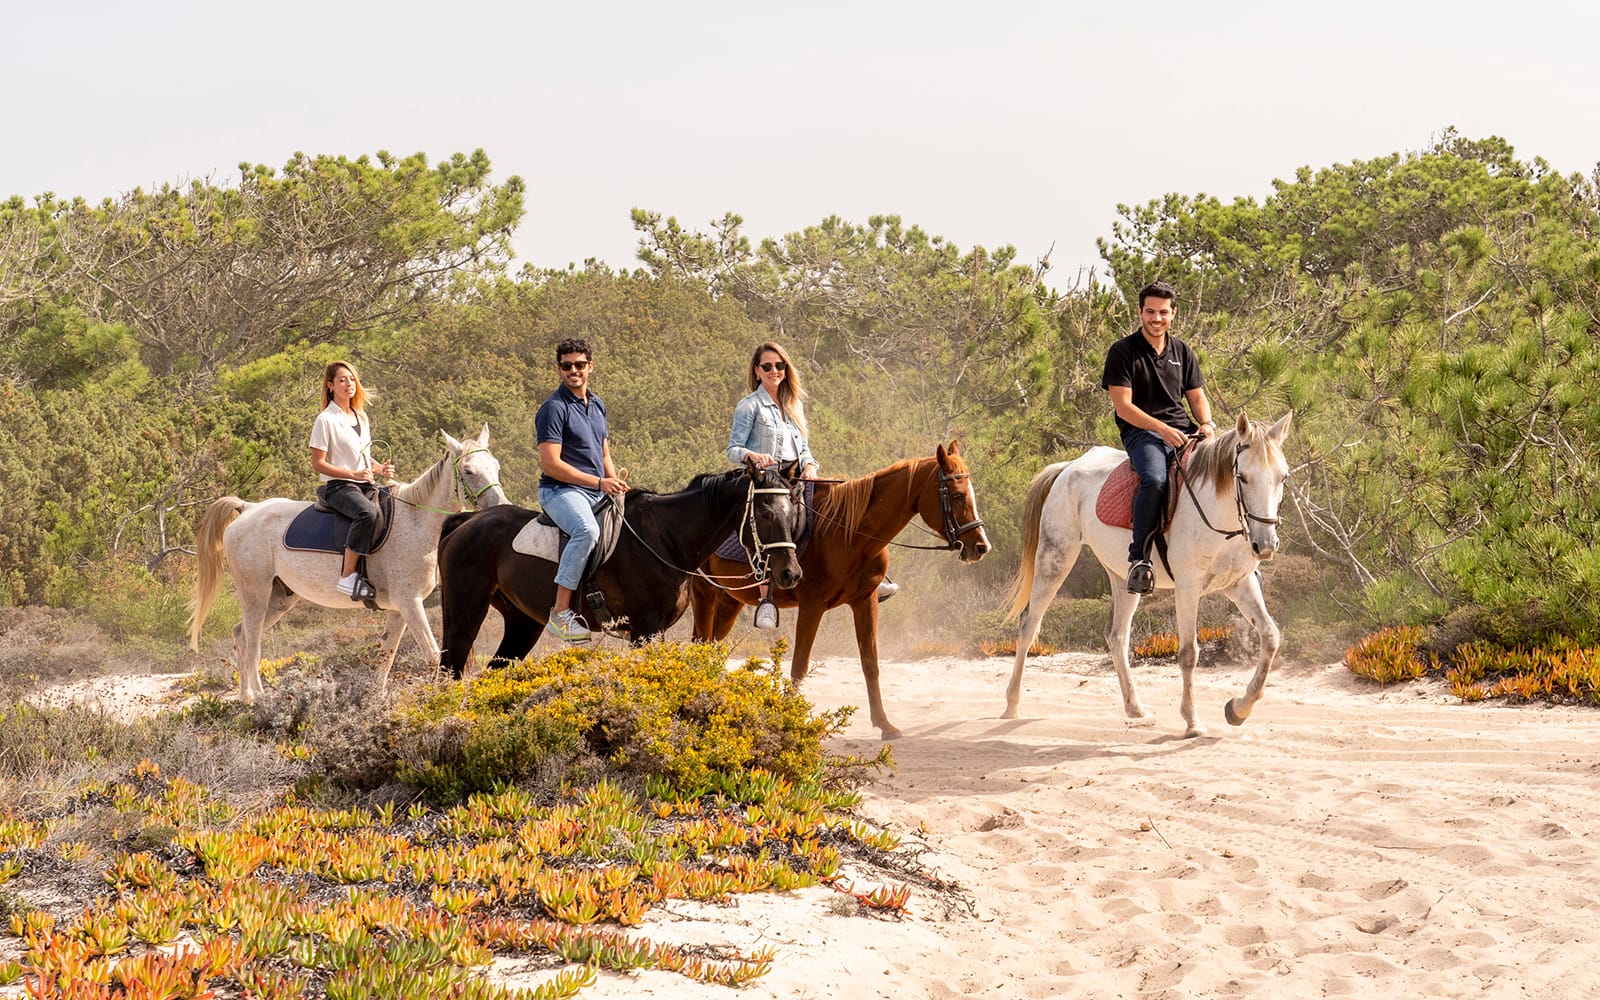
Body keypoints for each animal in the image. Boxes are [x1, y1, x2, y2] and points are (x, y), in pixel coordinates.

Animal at [189, 426, 508, 701]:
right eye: (468, 471)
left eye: (496, 466)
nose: (500, 507)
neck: (416, 522)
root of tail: (248, 509)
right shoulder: (411, 603)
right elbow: (432, 656)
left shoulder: (400, 610)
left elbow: (385, 659)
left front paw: (376, 702)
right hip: (255, 593)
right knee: (251, 644)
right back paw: (259, 700)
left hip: (279, 598)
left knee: (240, 636)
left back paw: (245, 698)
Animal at [435, 461, 805, 677]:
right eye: (766, 513)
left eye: (793, 512)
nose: (791, 573)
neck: (665, 537)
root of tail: (466, 522)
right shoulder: (645, 631)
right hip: (464, 615)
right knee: (449, 670)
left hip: (522, 622)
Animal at [690, 442, 992, 740]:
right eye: (957, 495)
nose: (980, 546)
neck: (848, 533)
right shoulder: (812, 606)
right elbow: (799, 665)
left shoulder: (865, 601)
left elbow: (870, 663)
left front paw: (885, 724)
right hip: (704, 591)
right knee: (702, 645)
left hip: (730, 600)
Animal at [1003, 412, 1294, 737]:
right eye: (1242, 477)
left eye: (1282, 477)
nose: (1265, 545)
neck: (1217, 515)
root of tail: (1067, 468)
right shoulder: (1188, 587)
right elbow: (1189, 653)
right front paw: (1192, 722)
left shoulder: (1239, 584)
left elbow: (1270, 636)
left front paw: (1238, 709)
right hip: (1055, 558)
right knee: (1029, 624)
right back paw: (1012, 704)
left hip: (1122, 578)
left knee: (1117, 636)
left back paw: (1135, 708)